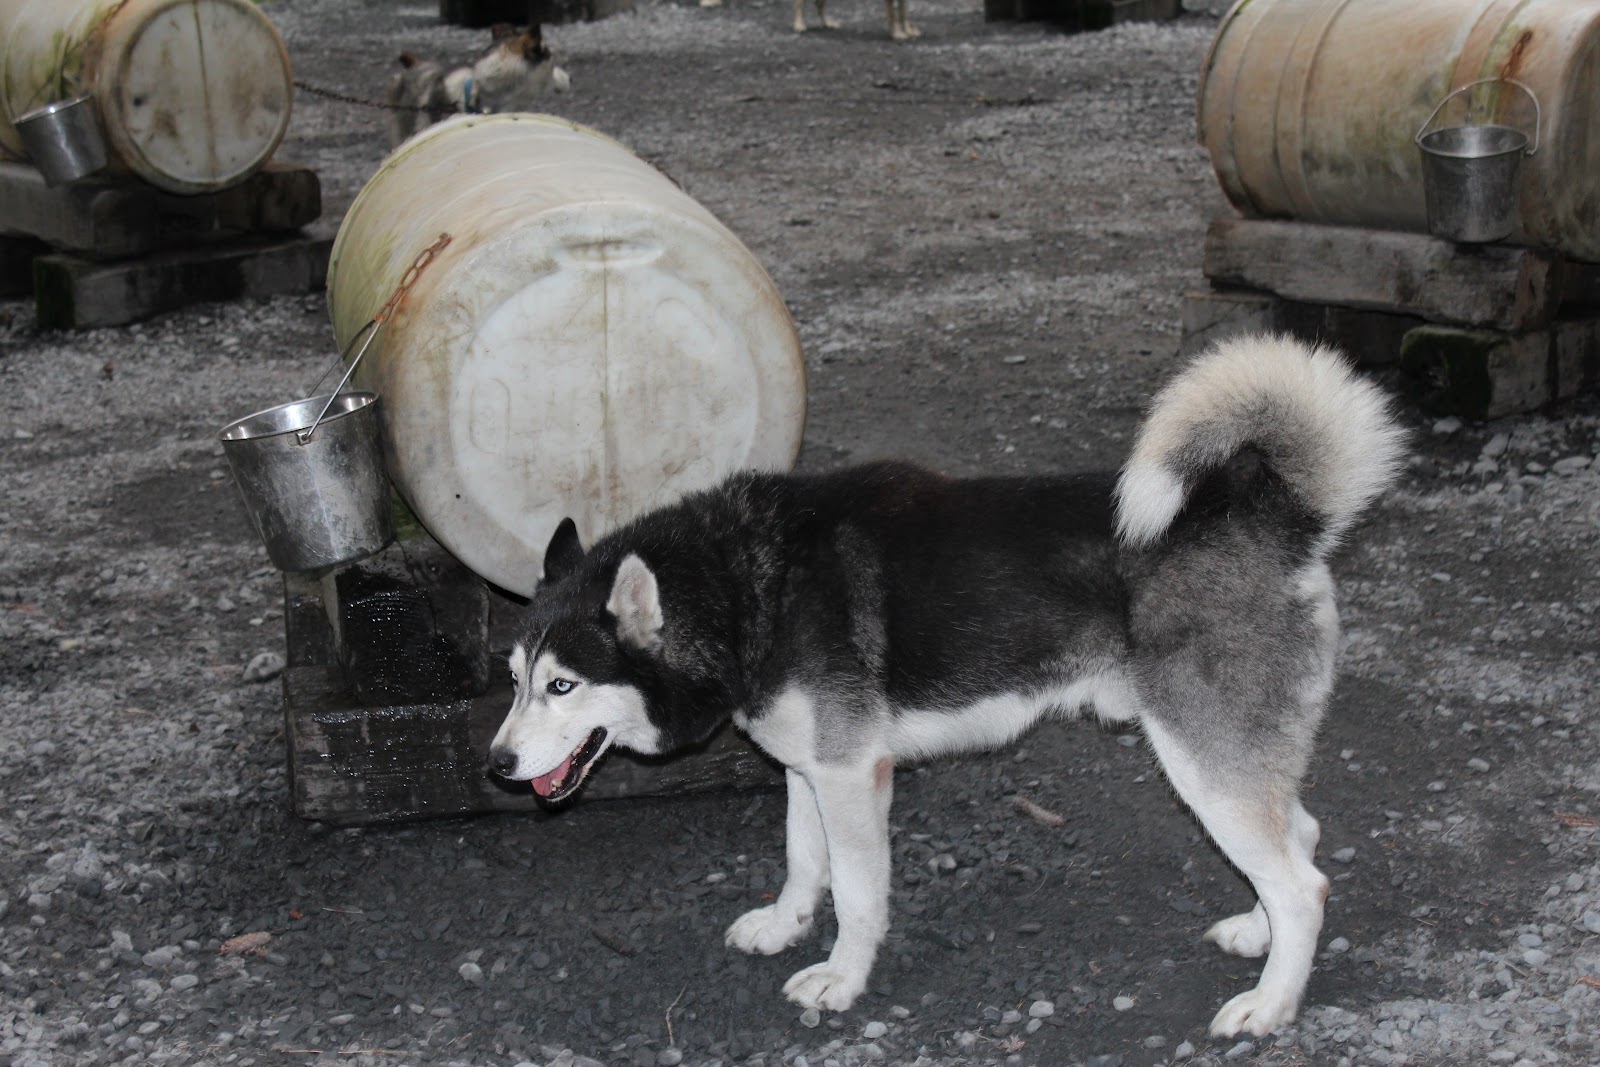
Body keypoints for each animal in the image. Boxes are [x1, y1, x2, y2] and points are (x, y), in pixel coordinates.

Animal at [488, 335, 1407, 1037]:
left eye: (564, 685)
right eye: (513, 678)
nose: (495, 763)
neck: (746, 585)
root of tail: (1275, 519)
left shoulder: (854, 777)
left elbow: (857, 894)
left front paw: (841, 978)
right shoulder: (809, 771)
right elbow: (802, 861)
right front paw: (786, 925)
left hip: (1201, 762)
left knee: (1304, 884)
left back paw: (1270, 1004)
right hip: (1232, 760)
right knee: (1300, 838)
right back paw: (1258, 934)